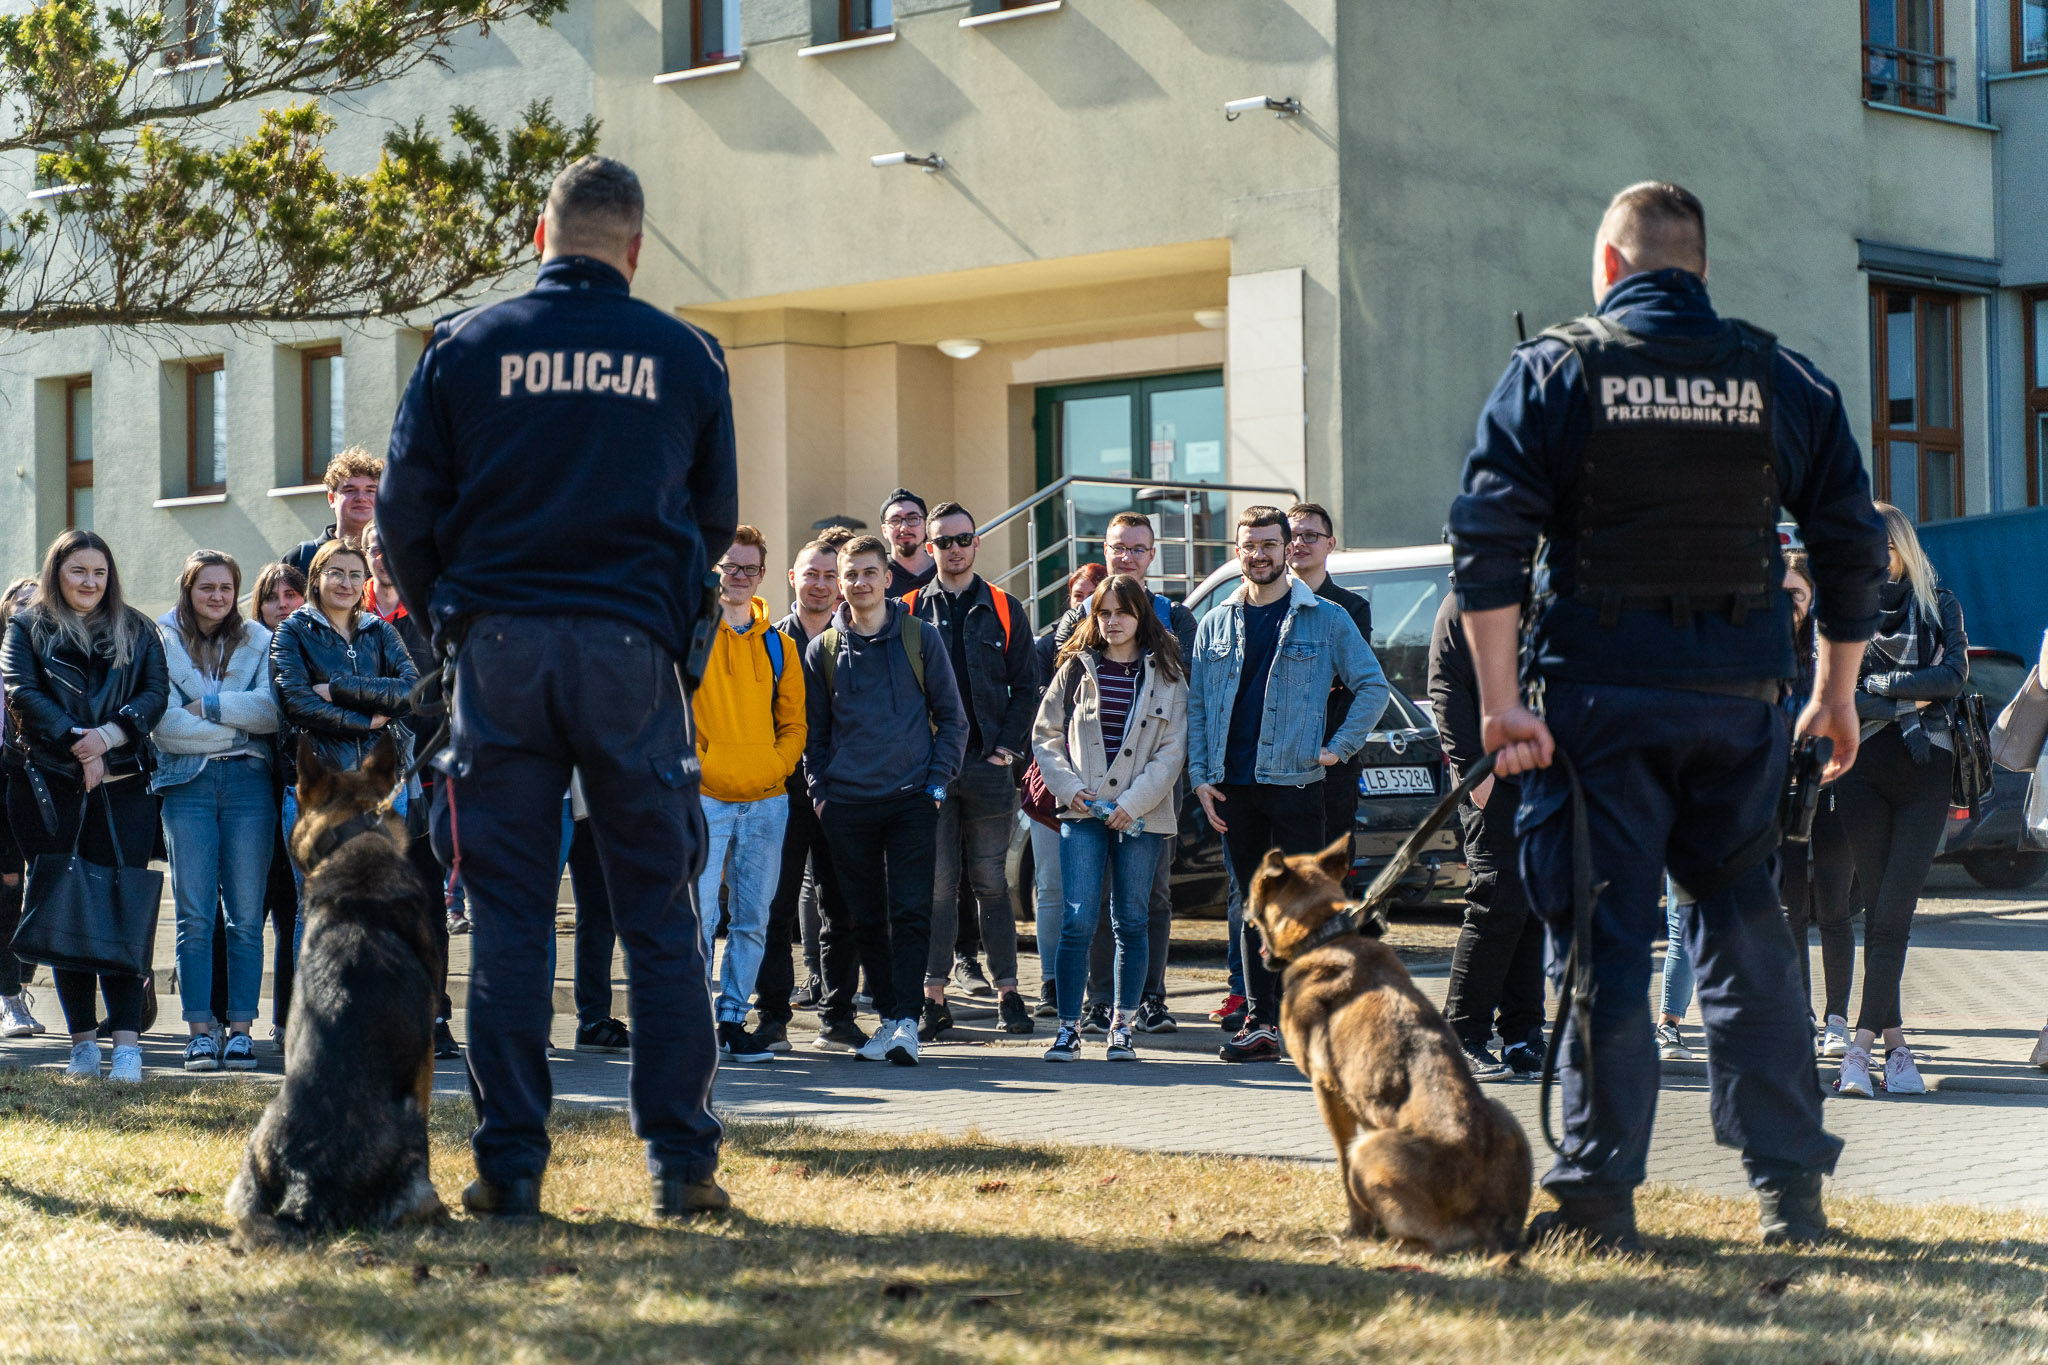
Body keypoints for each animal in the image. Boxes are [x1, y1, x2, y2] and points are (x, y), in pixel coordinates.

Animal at [1236, 826, 1531, 1252]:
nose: (1241, 907)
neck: (1324, 933)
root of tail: (1484, 1221)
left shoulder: (1328, 1093)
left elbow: (1343, 1167)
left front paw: (1357, 1228)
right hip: (1504, 1118)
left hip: (1369, 1149)